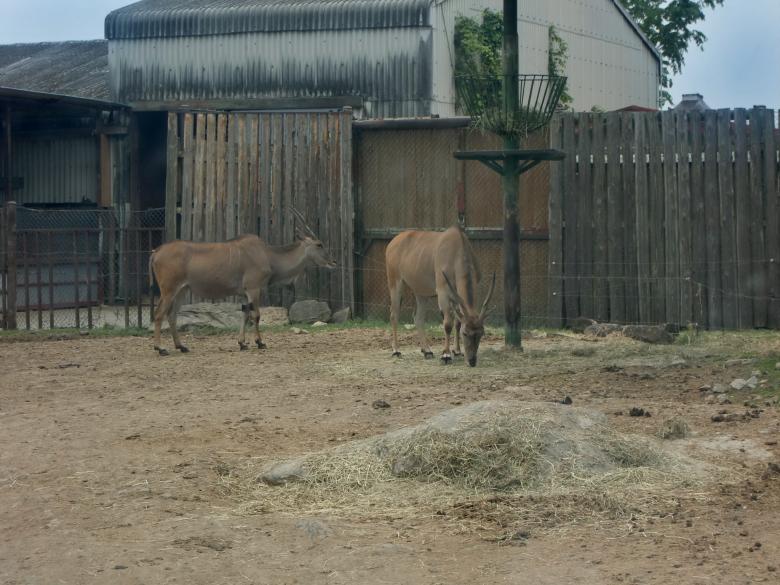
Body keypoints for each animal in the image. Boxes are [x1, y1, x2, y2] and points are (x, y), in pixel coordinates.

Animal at [148, 209, 335, 355]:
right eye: (319, 244)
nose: (333, 262)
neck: (268, 255)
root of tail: (156, 251)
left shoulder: (244, 293)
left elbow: (245, 314)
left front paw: (242, 343)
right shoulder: (254, 288)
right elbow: (256, 315)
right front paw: (260, 342)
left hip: (182, 290)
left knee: (172, 315)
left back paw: (181, 346)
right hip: (168, 290)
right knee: (159, 314)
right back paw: (160, 348)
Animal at [385, 226, 496, 367]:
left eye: (481, 333)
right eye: (465, 333)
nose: (472, 361)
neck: (457, 251)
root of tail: (394, 241)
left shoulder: (456, 298)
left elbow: (457, 322)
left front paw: (457, 351)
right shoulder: (443, 293)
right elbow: (448, 324)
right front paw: (446, 355)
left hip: (421, 293)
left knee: (418, 317)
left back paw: (427, 351)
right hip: (395, 283)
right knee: (394, 315)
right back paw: (396, 350)